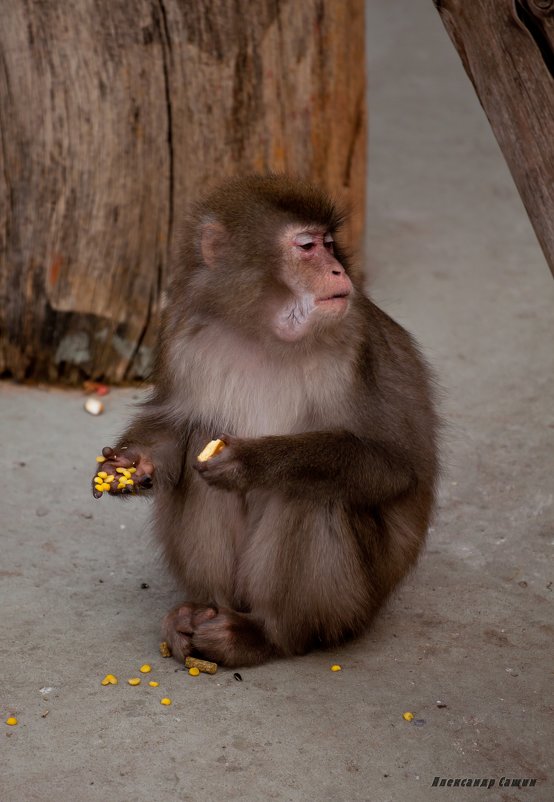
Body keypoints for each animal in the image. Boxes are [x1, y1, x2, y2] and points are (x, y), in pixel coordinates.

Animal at [92, 177, 438, 668]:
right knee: (202, 442)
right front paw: (132, 465)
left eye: (330, 245)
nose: (339, 271)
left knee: (310, 494)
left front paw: (251, 461)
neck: (264, 332)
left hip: (357, 602)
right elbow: (177, 424)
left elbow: (393, 464)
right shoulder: (181, 333)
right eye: (308, 247)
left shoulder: (357, 346)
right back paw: (203, 612)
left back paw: (265, 634)